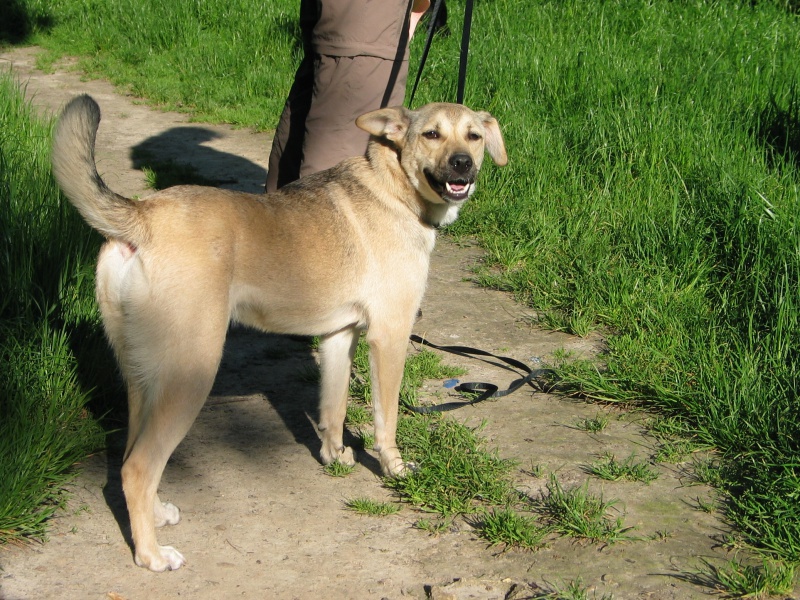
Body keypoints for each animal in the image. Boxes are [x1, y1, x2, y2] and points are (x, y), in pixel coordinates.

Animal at [51, 95, 506, 572]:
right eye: (431, 134)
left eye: (474, 136)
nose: (462, 164)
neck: (394, 187)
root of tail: (142, 215)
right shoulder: (389, 336)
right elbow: (387, 420)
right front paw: (394, 470)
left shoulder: (340, 336)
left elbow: (333, 410)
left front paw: (333, 457)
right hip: (189, 375)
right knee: (138, 468)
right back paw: (152, 555)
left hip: (145, 378)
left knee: (130, 457)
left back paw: (155, 517)